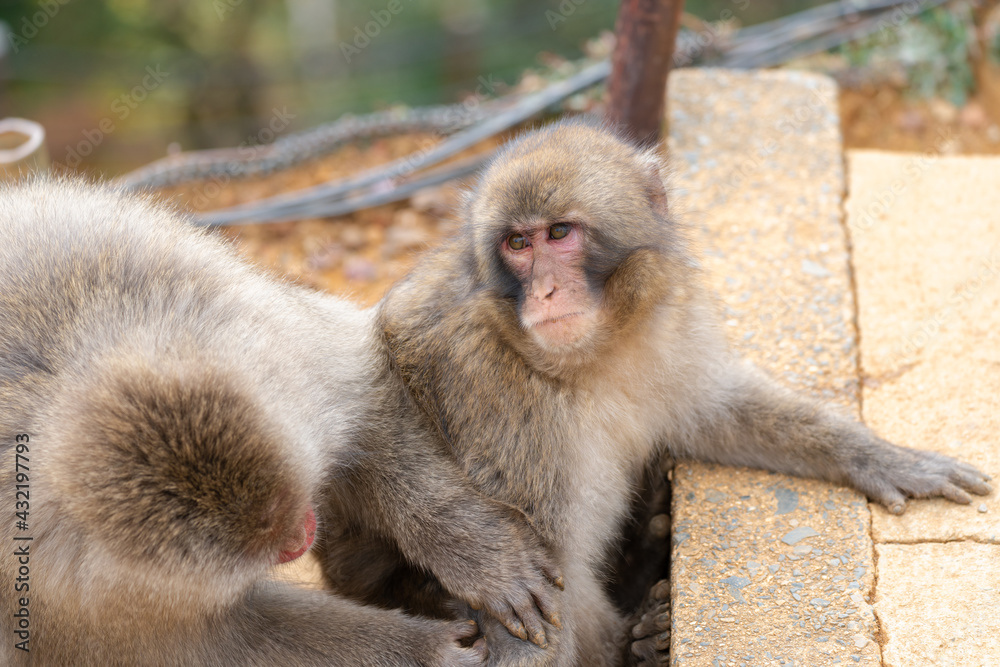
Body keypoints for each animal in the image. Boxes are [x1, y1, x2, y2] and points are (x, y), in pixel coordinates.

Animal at [0, 177, 563, 666]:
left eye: (281, 514)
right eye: (261, 540)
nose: (299, 535)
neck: (74, 372)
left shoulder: (273, 344)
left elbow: (367, 411)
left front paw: (481, 560)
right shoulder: (75, 590)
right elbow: (214, 642)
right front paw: (424, 651)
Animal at [359, 119, 994, 666]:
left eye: (558, 233)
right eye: (517, 243)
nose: (543, 293)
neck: (587, 361)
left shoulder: (668, 326)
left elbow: (718, 413)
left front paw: (881, 457)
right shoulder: (485, 382)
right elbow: (537, 592)